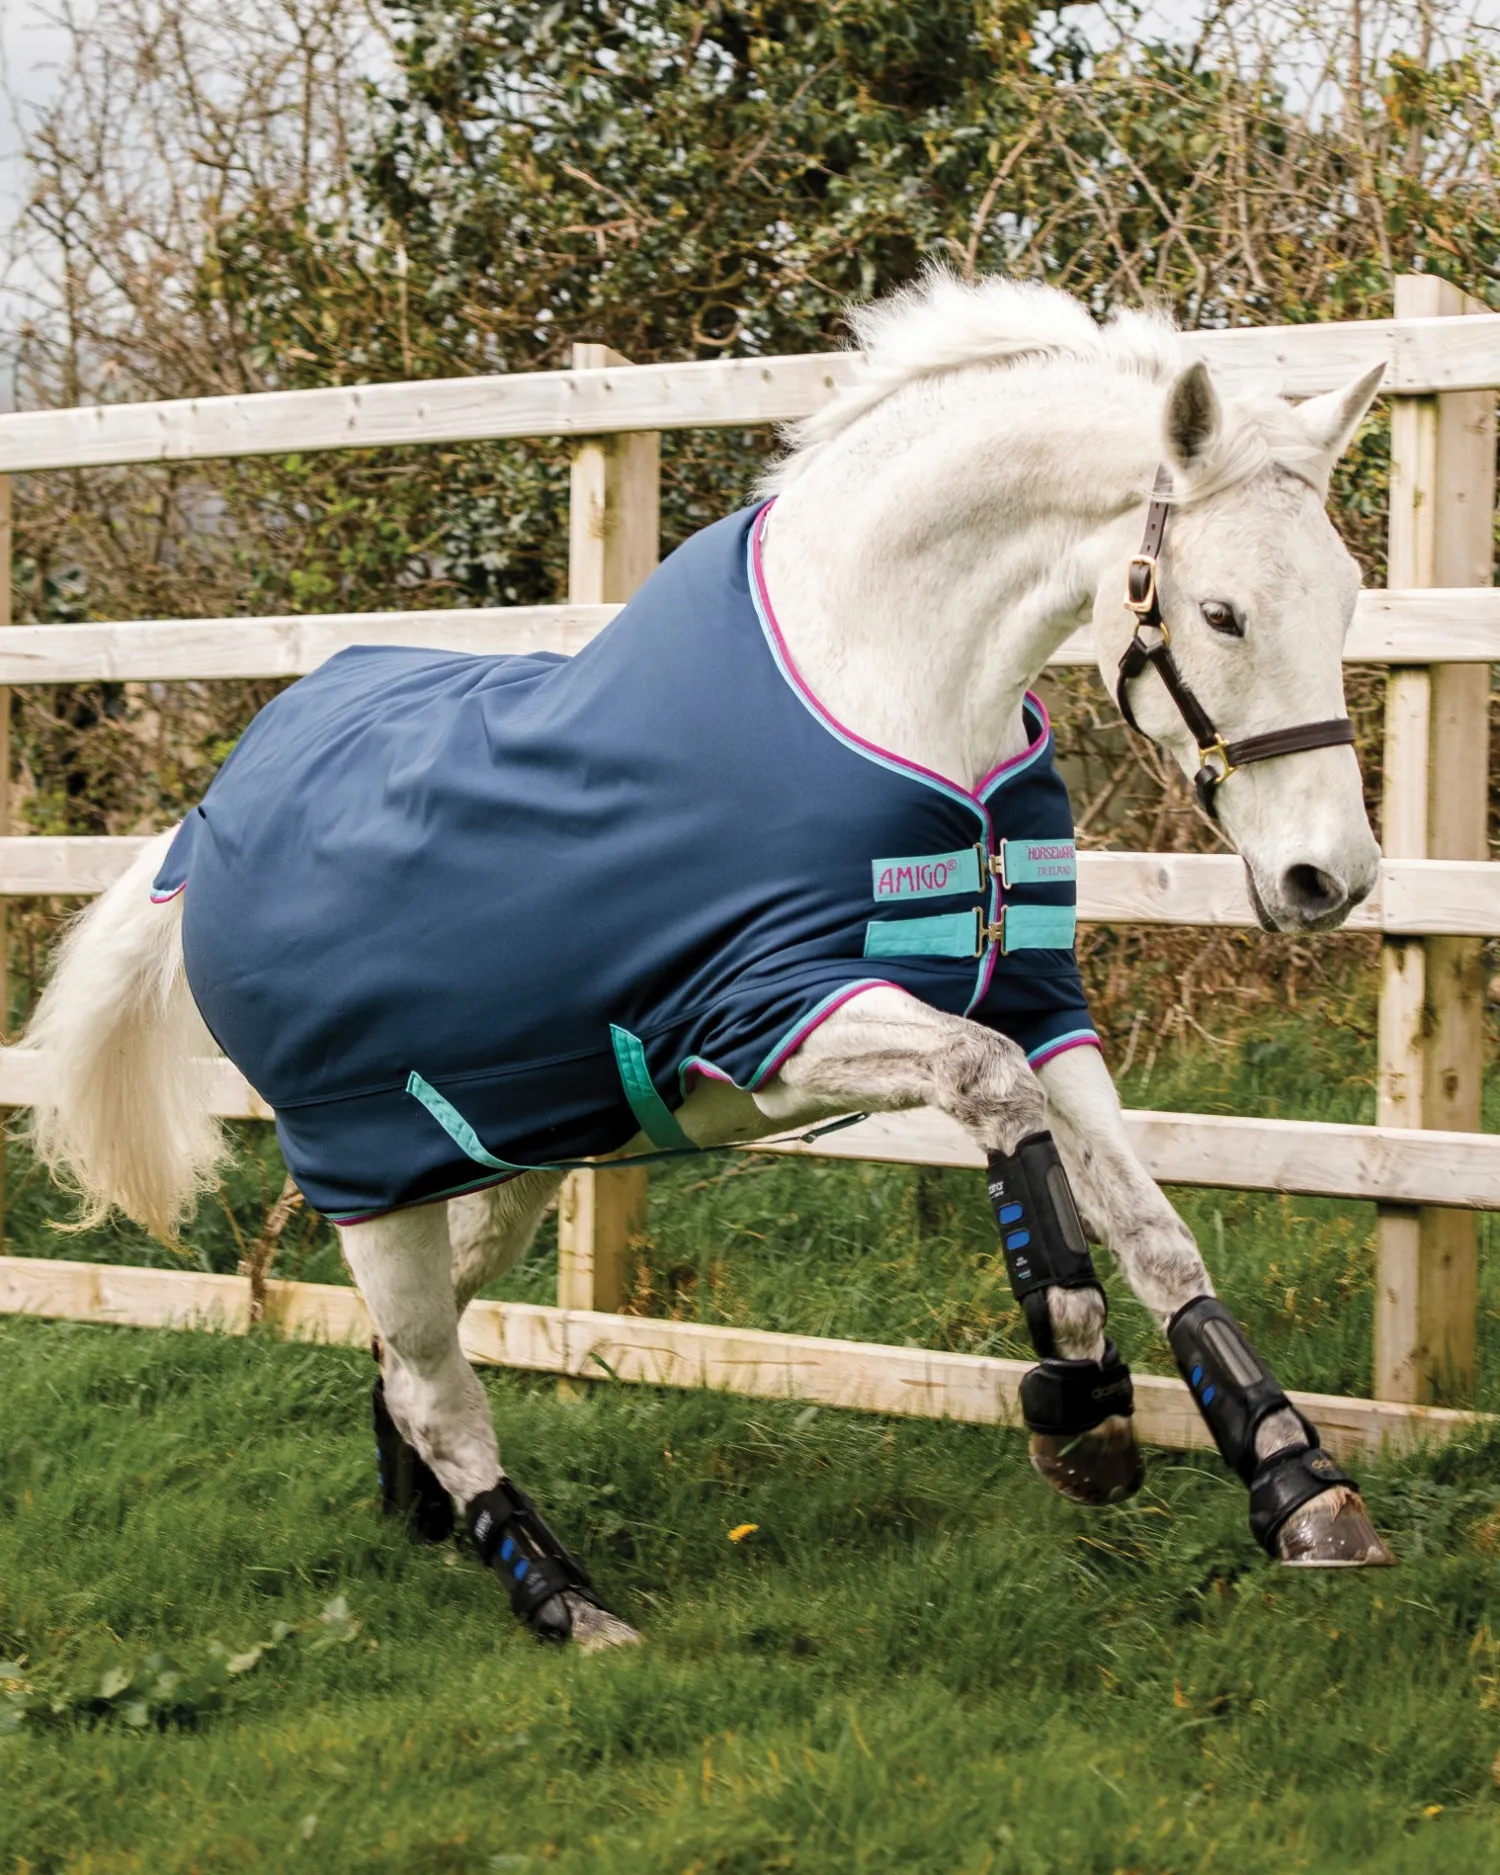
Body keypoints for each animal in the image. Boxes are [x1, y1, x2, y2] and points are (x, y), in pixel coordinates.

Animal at [23, 273, 1394, 1653]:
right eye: (1221, 612)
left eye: (1346, 594)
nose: (1328, 880)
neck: (890, 691)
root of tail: (202, 830)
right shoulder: (775, 1022)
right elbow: (994, 1099)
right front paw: (1084, 1408)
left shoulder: (1041, 1005)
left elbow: (1155, 1232)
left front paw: (1298, 1484)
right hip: (367, 1185)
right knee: (439, 1389)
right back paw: (565, 1602)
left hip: (498, 1167)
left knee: (420, 1361)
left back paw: (423, 1511)